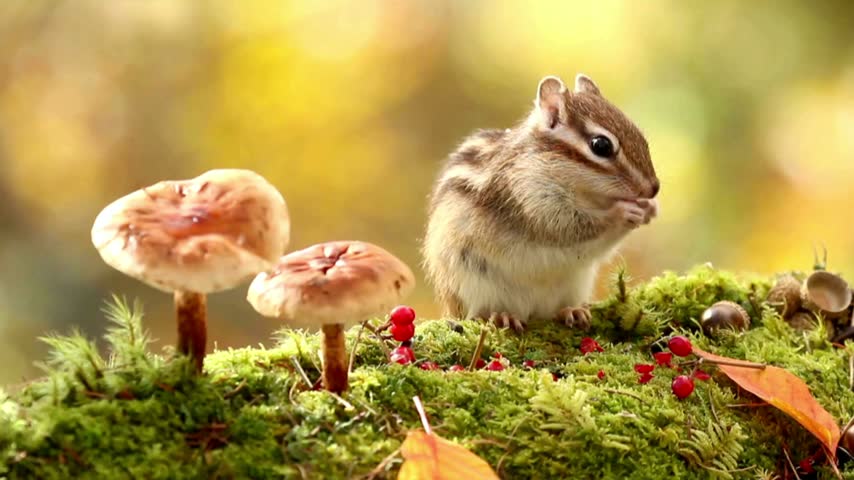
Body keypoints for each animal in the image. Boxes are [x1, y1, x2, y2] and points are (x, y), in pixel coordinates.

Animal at [422, 73, 659, 332]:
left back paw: (572, 311)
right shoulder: (529, 198)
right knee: (477, 313)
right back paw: (500, 316)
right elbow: (568, 227)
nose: (654, 188)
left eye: (641, 137)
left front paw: (650, 209)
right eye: (601, 145)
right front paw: (621, 212)